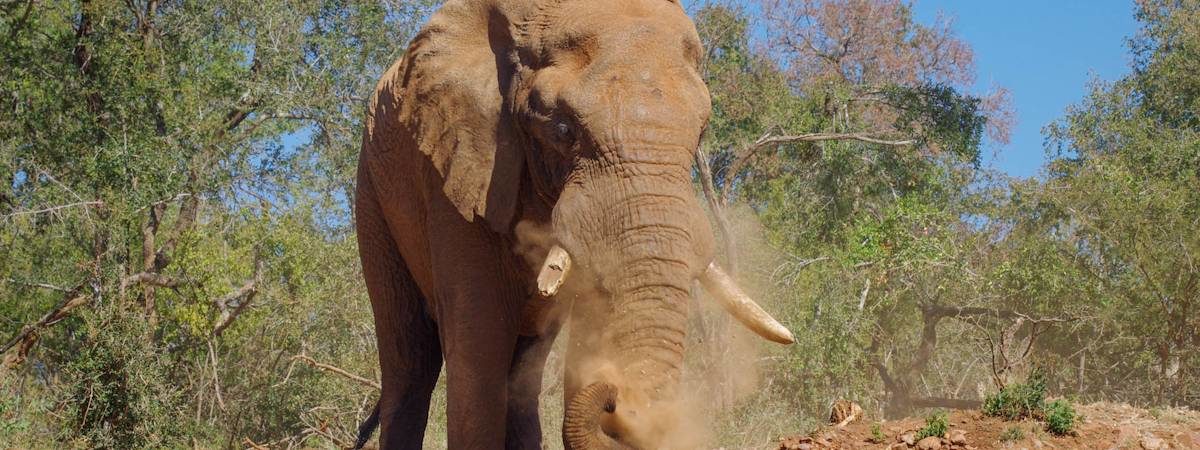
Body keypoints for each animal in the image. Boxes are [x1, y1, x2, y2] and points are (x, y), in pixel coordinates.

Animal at [350, 0, 792, 448]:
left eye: (701, 133)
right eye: (564, 129)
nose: (617, 400)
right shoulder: (454, 176)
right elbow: (479, 347)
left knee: (524, 365)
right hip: (372, 193)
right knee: (411, 362)